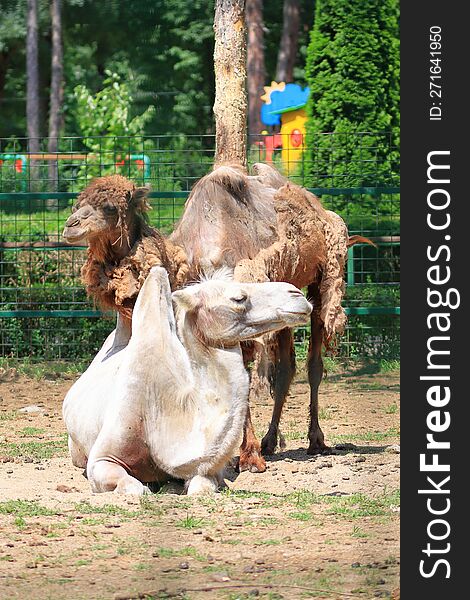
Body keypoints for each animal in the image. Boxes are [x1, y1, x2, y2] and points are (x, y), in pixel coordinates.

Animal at [62, 266, 312, 492]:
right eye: (238, 298)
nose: (297, 294)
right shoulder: (104, 457)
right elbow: (133, 487)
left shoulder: (207, 470)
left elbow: (202, 486)